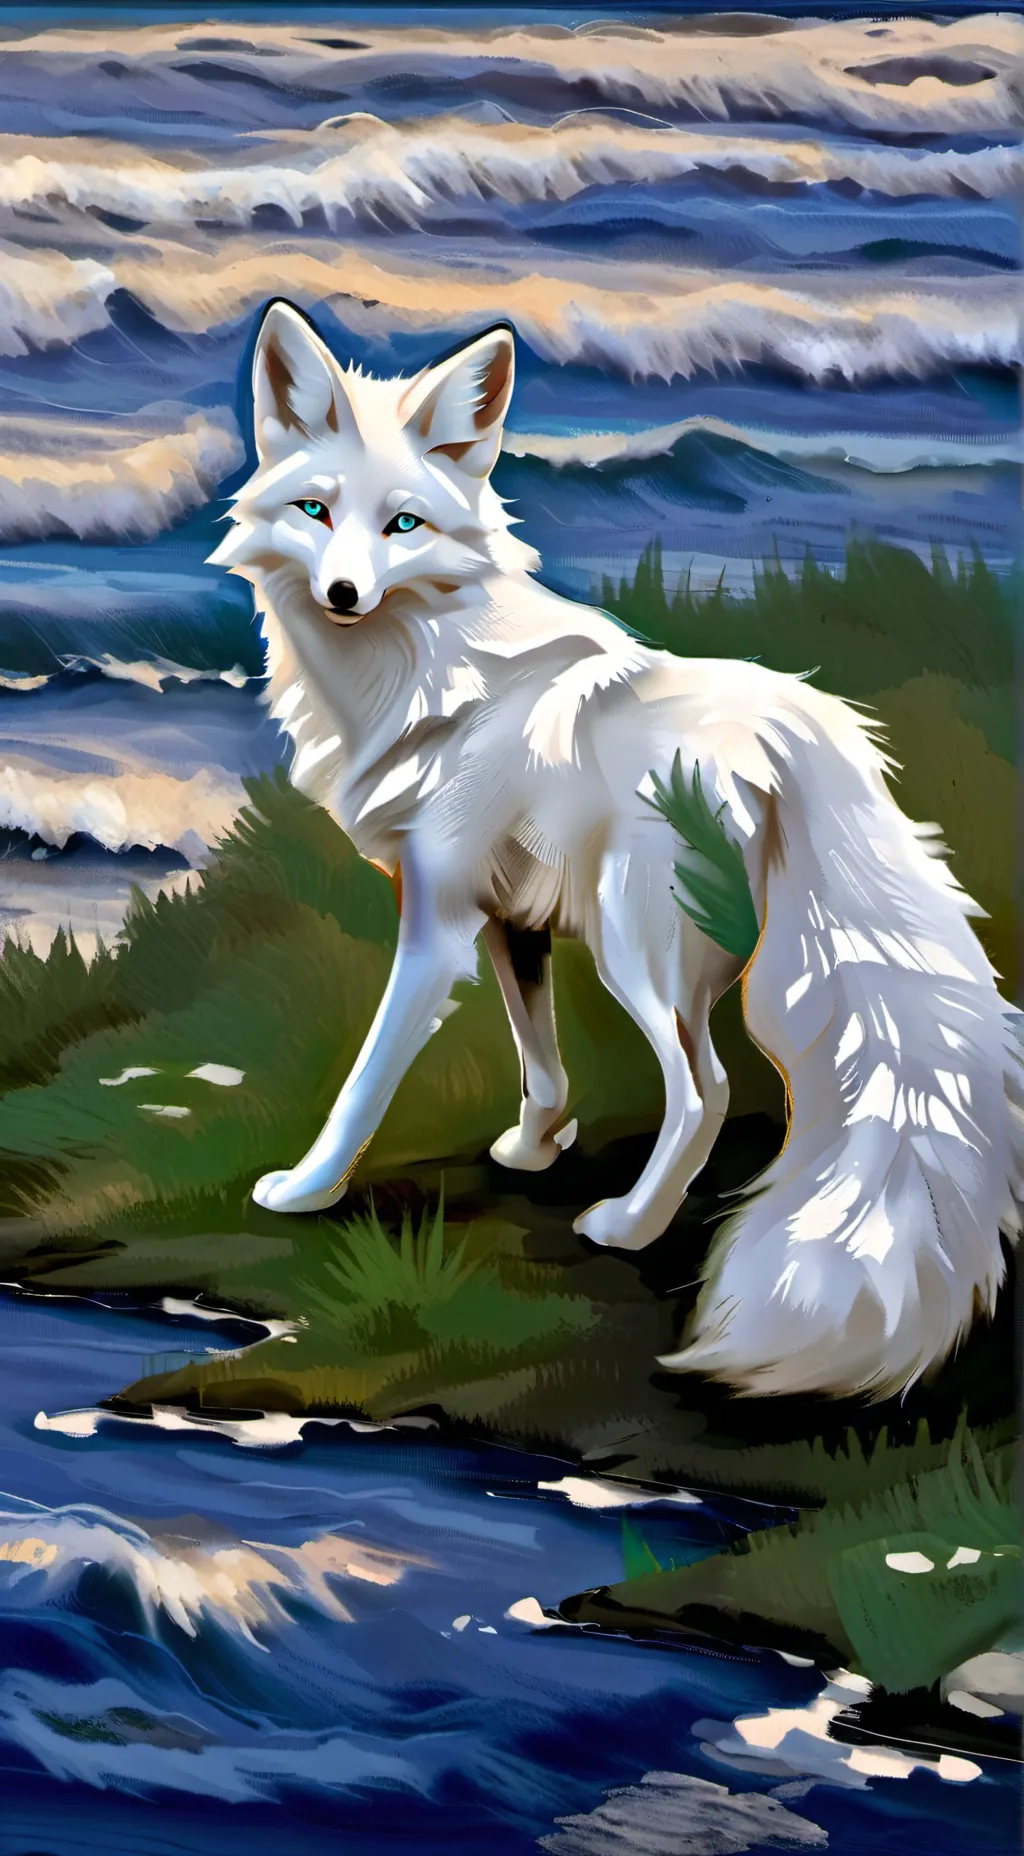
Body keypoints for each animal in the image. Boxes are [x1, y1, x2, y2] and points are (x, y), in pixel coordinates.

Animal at [210, 298, 1023, 1399]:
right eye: (316, 511)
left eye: (402, 526)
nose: (341, 593)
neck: (425, 674)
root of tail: (796, 721)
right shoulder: (506, 918)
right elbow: (543, 1062)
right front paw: (532, 1147)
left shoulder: (434, 922)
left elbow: (364, 1080)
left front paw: (306, 1187)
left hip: (636, 946)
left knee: (705, 1090)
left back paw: (630, 1226)